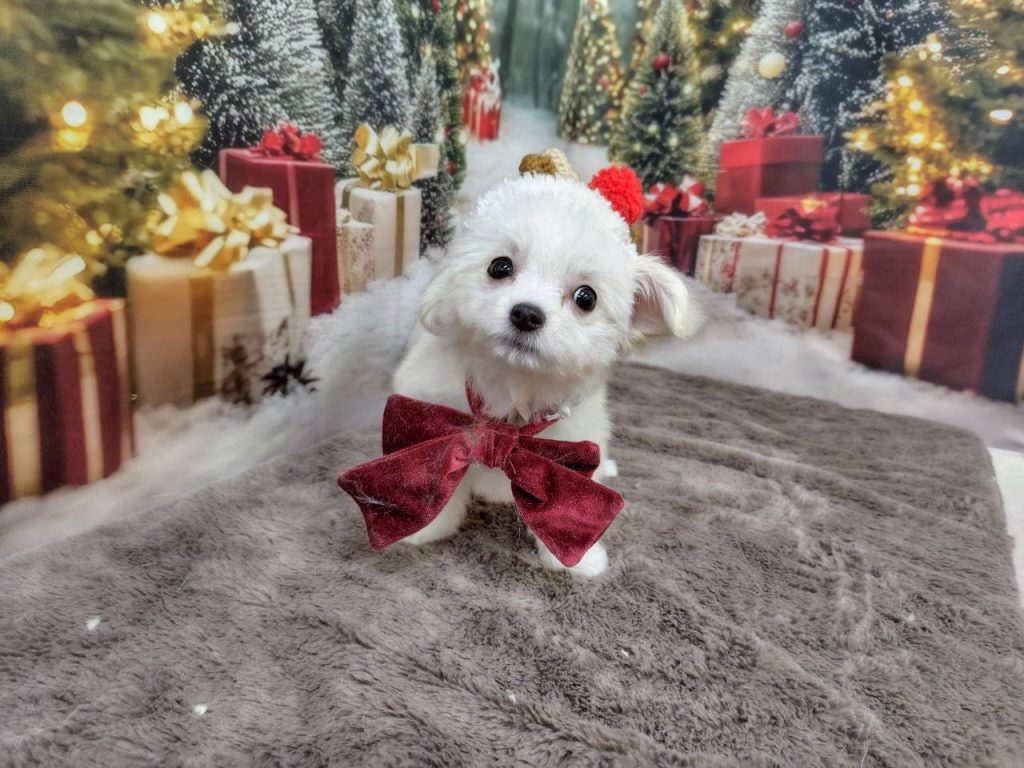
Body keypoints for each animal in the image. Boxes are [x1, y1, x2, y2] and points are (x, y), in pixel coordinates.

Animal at [392, 158, 701, 576]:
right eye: (499, 266)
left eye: (586, 297)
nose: (526, 313)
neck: (512, 389)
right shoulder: (427, 415)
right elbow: (436, 477)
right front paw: (425, 527)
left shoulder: (573, 446)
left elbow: (570, 505)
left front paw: (579, 560)